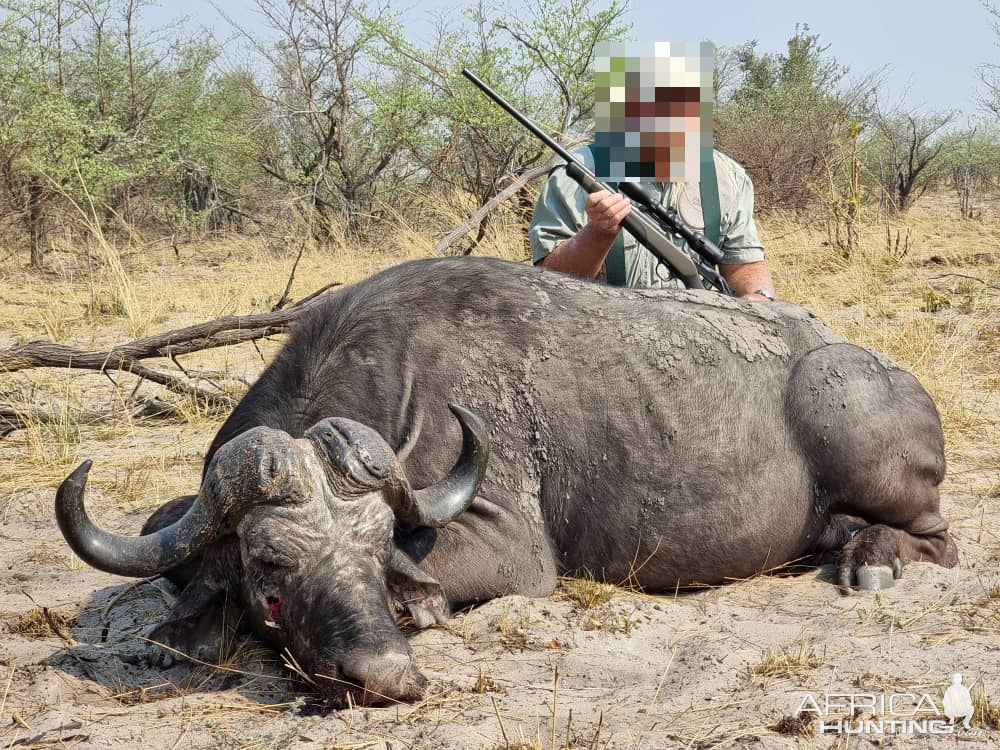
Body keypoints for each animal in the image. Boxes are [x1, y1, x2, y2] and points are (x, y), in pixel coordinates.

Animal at [56, 258, 960, 704]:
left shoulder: (506, 548)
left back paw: (874, 561)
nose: (387, 679)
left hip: (860, 430)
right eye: (271, 570)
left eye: (376, 550)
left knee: (939, 541)